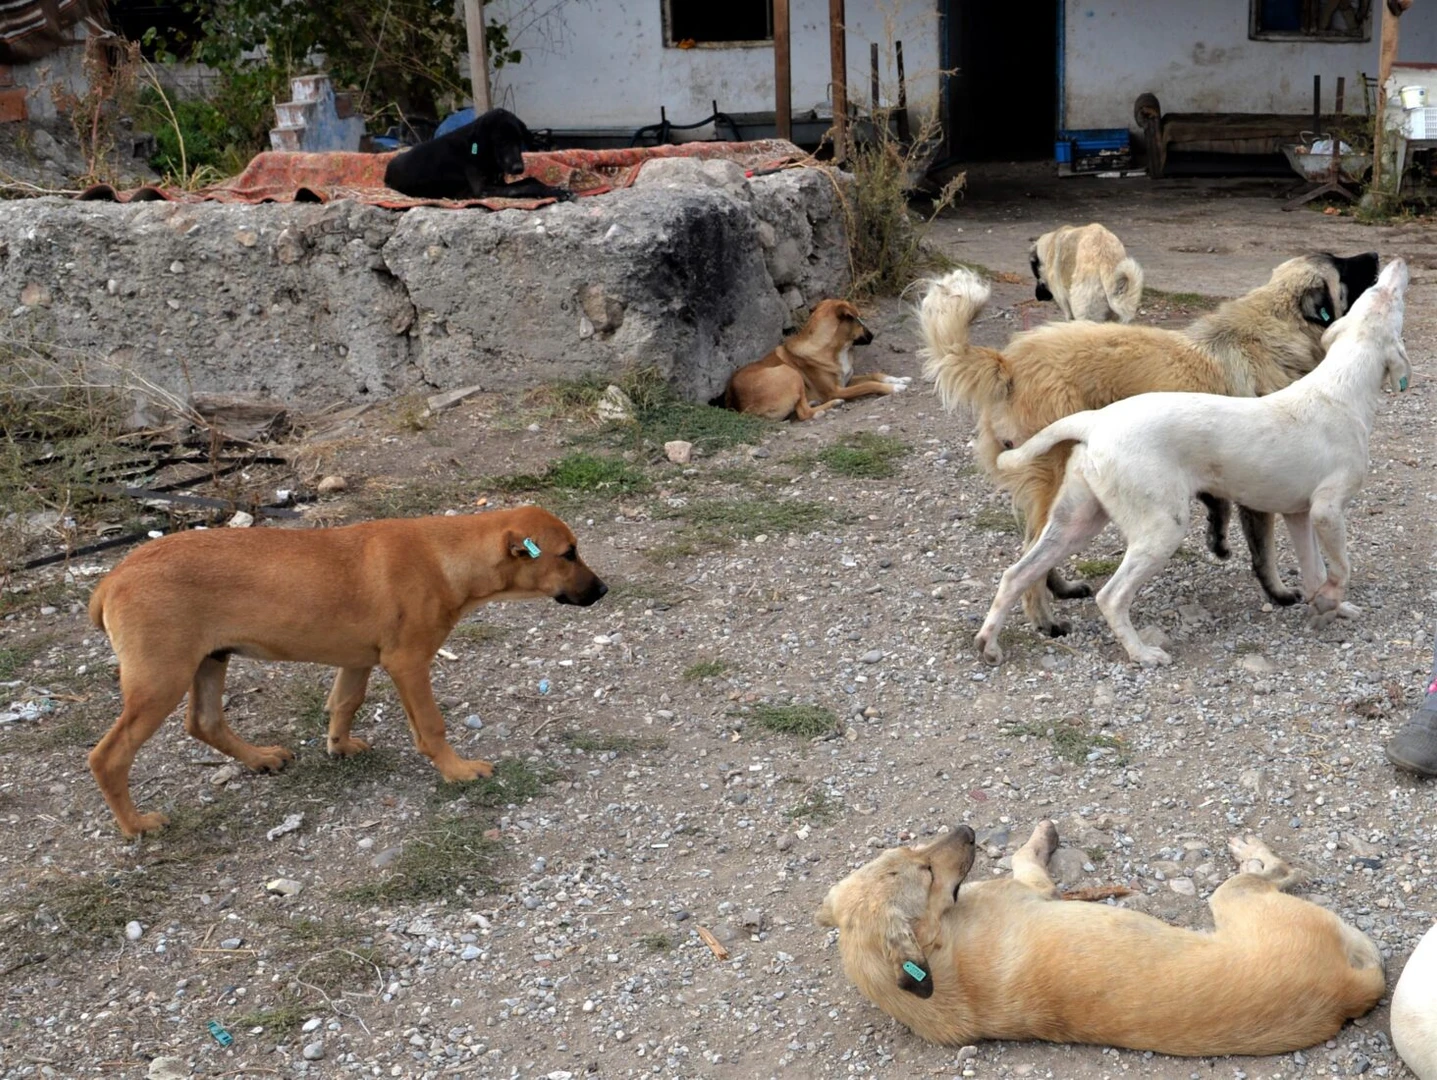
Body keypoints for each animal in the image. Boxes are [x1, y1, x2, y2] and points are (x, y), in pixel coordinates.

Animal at [88, 502, 606, 838]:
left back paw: (260, 758)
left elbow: (345, 702)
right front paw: (457, 770)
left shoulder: (358, 661)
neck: (445, 556)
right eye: (568, 553)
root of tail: (113, 578)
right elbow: (431, 726)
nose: (602, 591)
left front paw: (339, 746)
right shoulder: (408, 663)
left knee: (205, 722)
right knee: (109, 756)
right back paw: (137, 825)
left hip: (210, 661)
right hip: (161, 679)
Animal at [387, 108, 577, 203]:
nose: (518, 168)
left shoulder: (499, 182)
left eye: (519, 140)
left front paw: (556, 189)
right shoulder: (483, 190)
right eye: (501, 141)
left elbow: (530, 180)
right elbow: (527, 186)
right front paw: (555, 192)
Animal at [718, 301, 908, 425]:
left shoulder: (846, 379)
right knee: (804, 413)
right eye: (858, 319)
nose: (872, 335)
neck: (834, 349)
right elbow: (869, 384)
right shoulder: (836, 390)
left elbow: (875, 374)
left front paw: (899, 379)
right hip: (789, 372)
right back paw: (831, 404)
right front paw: (894, 388)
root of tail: (738, 405)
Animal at [816, 815, 1385, 1057]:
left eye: (912, 852)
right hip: (1233, 898)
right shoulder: (1034, 886)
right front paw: (1041, 837)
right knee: (1277, 869)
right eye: (927, 872)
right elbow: (1025, 855)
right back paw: (1251, 851)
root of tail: (1346, 993)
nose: (969, 833)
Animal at [919, 251, 1379, 640]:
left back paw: (1060, 588)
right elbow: (1263, 549)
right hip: (1056, 478)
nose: (1375, 255)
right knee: (1031, 551)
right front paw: (1279, 593)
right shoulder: (1259, 485)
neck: (1271, 329)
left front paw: (1217, 538)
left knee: (1035, 550)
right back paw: (1045, 618)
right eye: (1343, 266)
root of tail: (1008, 363)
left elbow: (1219, 507)